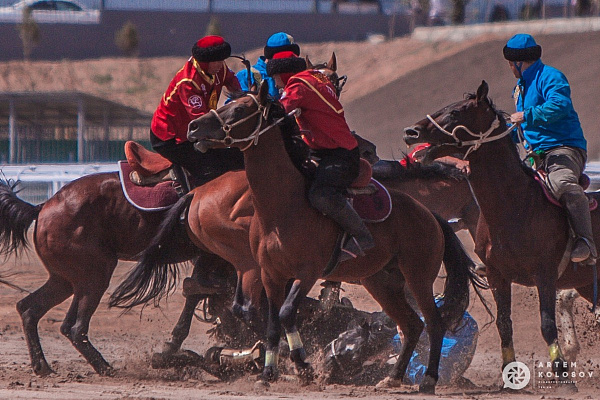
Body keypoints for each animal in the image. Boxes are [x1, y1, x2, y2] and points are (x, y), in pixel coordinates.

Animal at [178, 82, 482, 394]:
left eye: (239, 109)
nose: (193, 126)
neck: (283, 205)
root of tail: (429, 215)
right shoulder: (270, 274)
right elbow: (272, 323)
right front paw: (269, 373)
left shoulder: (307, 273)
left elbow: (287, 313)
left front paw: (302, 366)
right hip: (382, 282)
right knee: (411, 325)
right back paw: (393, 377)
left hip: (418, 276)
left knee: (433, 324)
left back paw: (428, 380)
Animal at [404, 80, 600, 384]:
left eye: (457, 111)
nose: (411, 132)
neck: (514, 206)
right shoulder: (498, 276)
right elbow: (504, 324)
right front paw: (510, 379)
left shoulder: (545, 274)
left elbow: (547, 324)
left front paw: (562, 376)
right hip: (586, 285)